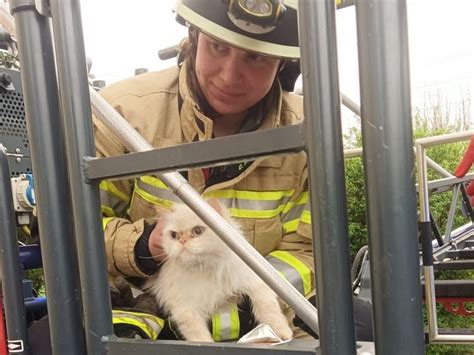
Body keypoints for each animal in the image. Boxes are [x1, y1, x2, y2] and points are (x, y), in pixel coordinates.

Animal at [144, 200, 292, 342]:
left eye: (198, 231)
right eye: (174, 235)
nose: (183, 241)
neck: (206, 269)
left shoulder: (256, 282)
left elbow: (269, 309)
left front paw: (282, 332)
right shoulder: (184, 307)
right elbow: (198, 335)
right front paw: (205, 343)